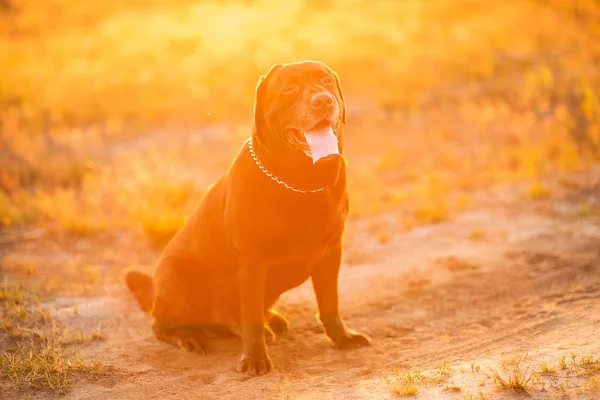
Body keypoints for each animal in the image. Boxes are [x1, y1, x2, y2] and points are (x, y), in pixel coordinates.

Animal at [125, 59, 370, 376]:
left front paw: (342, 337)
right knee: (162, 324)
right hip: (176, 274)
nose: (323, 101)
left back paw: (270, 320)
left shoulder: (332, 252)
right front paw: (255, 358)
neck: (301, 182)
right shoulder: (253, 263)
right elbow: (251, 318)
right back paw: (190, 337)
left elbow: (330, 304)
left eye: (326, 81)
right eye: (290, 88)